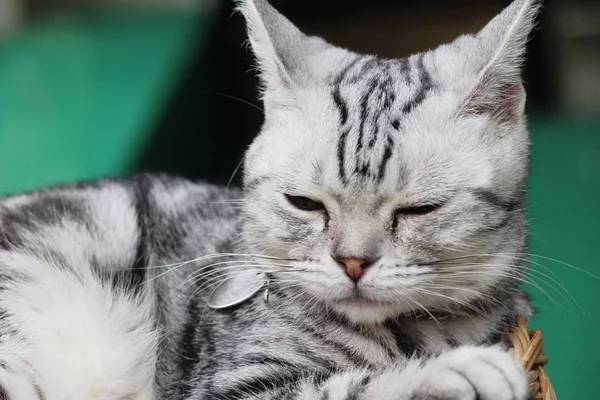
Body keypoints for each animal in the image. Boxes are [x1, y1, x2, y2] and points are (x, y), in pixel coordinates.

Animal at [0, 0, 540, 398]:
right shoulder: (235, 385)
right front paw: (456, 372)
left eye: (420, 210)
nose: (353, 262)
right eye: (305, 204)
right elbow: (352, 389)